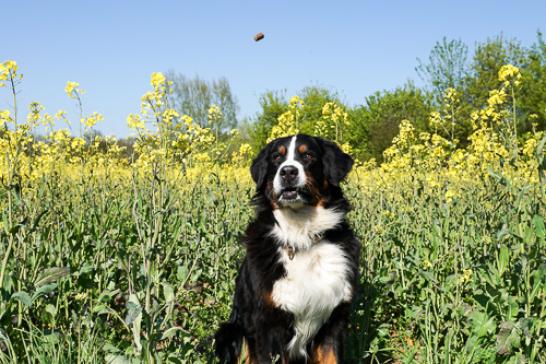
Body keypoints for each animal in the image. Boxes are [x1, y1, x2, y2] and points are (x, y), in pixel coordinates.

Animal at [215, 134, 360, 364]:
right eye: (277, 157)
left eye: (308, 155)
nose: (288, 171)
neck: (301, 237)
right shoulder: (267, 323)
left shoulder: (334, 321)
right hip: (232, 332)